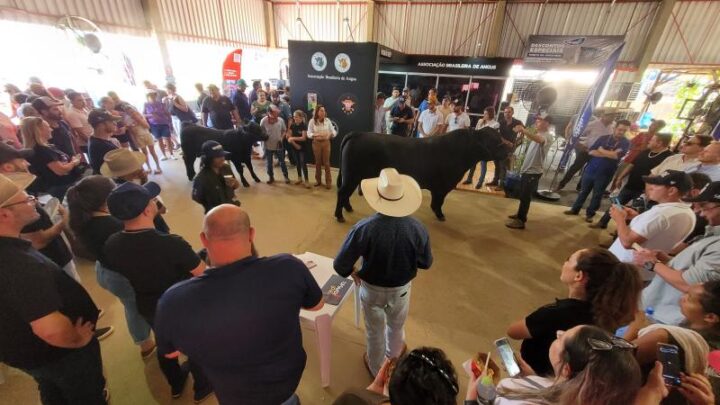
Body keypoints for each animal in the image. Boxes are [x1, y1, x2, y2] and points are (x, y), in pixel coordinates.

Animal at [334, 128, 504, 223]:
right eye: (495, 141)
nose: (508, 149)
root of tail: (358, 133)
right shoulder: (442, 187)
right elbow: (439, 202)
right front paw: (440, 215)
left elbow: (437, 201)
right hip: (352, 175)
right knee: (342, 192)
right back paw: (339, 216)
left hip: (354, 176)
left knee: (345, 194)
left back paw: (348, 209)